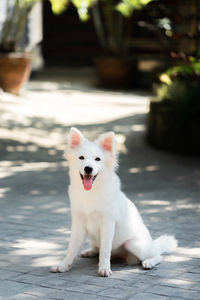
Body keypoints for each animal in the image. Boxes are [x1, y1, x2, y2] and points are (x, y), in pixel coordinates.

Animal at [50, 126, 177, 276]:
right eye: (81, 158)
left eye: (97, 159)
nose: (88, 168)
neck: (91, 192)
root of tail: (152, 243)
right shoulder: (78, 223)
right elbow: (72, 248)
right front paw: (64, 265)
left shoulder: (107, 223)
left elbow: (105, 250)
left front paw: (104, 268)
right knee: (96, 248)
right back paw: (90, 252)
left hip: (134, 244)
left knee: (158, 255)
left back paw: (149, 262)